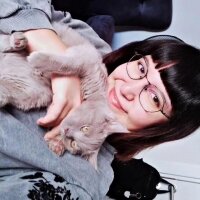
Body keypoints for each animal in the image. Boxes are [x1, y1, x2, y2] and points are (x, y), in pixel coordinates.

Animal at [0, 21, 126, 169]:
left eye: (74, 144)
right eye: (86, 128)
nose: (67, 132)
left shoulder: (38, 95)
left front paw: (57, 144)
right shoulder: (85, 57)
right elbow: (66, 64)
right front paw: (37, 61)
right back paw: (18, 41)